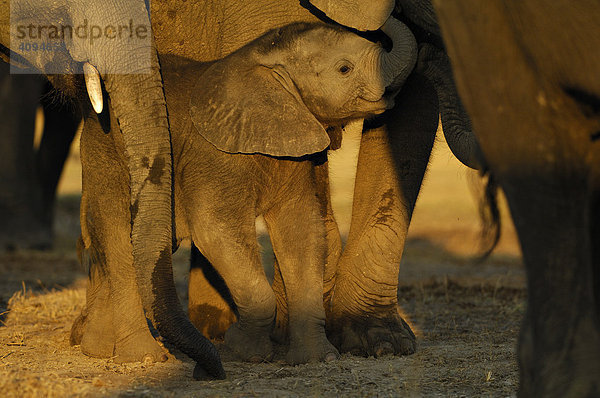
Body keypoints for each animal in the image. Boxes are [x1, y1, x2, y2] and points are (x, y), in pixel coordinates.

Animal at [76, 19, 418, 366]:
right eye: (344, 68)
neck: (261, 63)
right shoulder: (214, 155)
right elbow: (215, 228)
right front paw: (243, 350)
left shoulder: (294, 155)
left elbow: (302, 230)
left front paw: (317, 358)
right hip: (107, 158)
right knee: (118, 241)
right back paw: (142, 356)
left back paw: (98, 349)